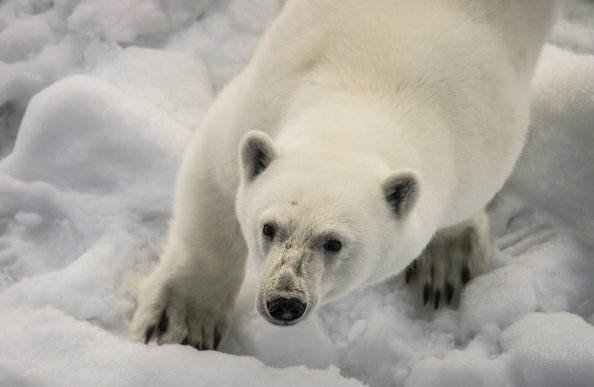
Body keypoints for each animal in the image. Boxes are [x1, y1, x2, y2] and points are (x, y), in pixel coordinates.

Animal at [132, 0, 556, 350]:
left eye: (334, 243)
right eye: (269, 227)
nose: (285, 301)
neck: (373, 90)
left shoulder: (484, 135)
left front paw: (446, 266)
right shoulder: (263, 97)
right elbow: (214, 177)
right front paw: (181, 323)